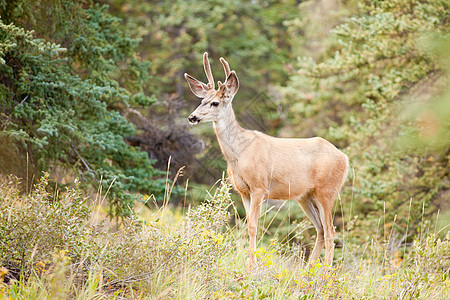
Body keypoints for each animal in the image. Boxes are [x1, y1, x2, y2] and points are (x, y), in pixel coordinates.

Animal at [185, 52, 350, 270]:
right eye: (202, 100)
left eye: (215, 103)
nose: (192, 117)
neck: (239, 154)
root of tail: (345, 158)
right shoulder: (243, 191)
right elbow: (247, 225)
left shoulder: (259, 187)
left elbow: (253, 226)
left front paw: (252, 267)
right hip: (306, 196)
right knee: (321, 230)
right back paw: (308, 270)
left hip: (327, 190)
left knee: (331, 231)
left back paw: (326, 272)